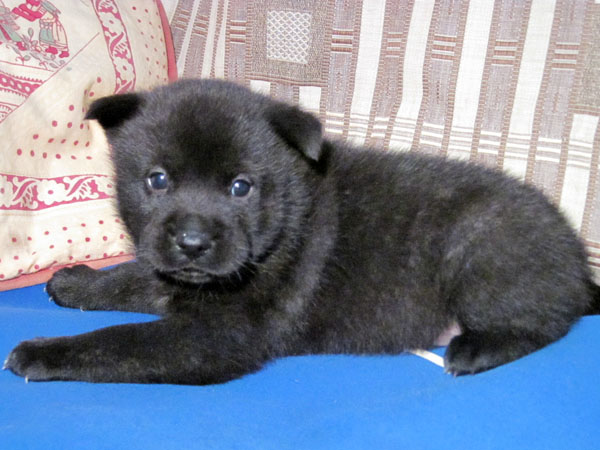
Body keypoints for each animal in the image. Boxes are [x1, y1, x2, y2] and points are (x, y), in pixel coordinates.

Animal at [5, 79, 599, 384]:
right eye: (157, 179)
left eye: (241, 187)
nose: (193, 243)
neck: (282, 225)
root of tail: (576, 261)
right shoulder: (177, 278)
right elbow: (134, 277)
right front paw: (76, 281)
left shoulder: (218, 336)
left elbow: (119, 341)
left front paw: (43, 352)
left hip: (481, 248)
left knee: (544, 320)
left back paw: (474, 350)